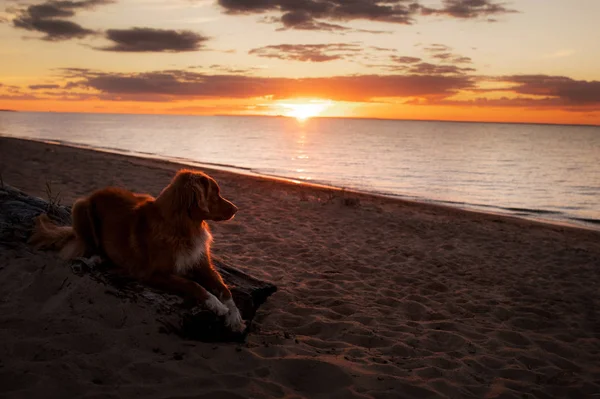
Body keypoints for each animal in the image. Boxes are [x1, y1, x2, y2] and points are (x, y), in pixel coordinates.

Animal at [29, 170, 246, 332]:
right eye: (215, 193)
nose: (236, 209)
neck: (183, 225)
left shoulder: (202, 265)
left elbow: (224, 288)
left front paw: (235, 315)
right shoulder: (151, 274)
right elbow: (192, 284)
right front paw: (215, 304)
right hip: (81, 207)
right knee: (89, 245)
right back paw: (95, 259)